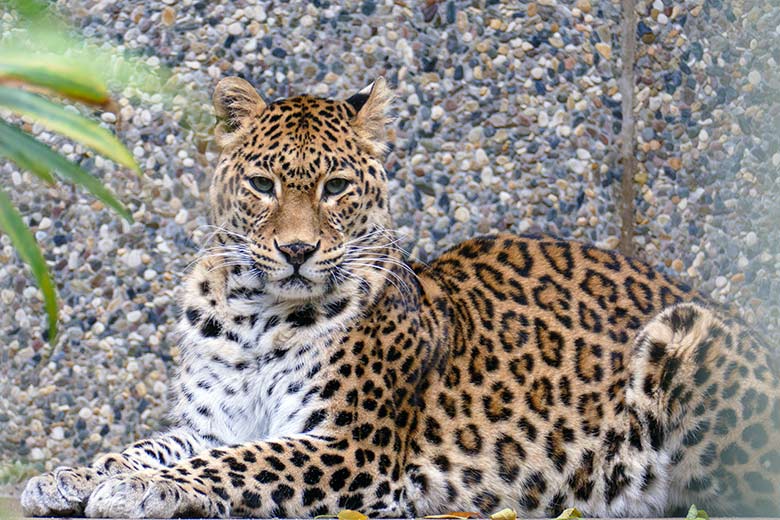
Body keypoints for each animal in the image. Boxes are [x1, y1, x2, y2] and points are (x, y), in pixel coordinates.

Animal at [21, 78, 776, 520]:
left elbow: (235, 463)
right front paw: (70, 477)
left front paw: (144, 491)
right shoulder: (214, 421)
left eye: (335, 187)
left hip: (686, 335)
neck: (254, 315)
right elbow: (147, 445)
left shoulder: (350, 448)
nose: (297, 250)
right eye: (264, 185)